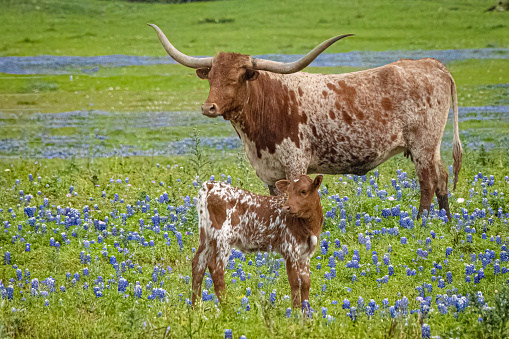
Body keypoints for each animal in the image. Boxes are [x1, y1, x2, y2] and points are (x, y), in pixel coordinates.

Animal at [149, 23, 462, 220]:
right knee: (443, 177)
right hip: (432, 146)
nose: (209, 107)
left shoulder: (295, 163)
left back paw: (421, 222)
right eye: (211, 76)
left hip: (422, 145)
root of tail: (433, 64)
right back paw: (445, 221)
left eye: (238, 77)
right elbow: (275, 203)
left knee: (427, 182)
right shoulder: (270, 171)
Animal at [190, 174, 322, 310]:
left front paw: (307, 312)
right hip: (223, 238)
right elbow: (295, 282)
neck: (309, 227)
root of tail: (211, 185)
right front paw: (295, 311)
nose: (287, 207)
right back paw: (226, 309)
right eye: (288, 192)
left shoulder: (305, 254)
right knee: (216, 268)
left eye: (304, 191)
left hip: (207, 237)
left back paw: (195, 307)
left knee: (198, 263)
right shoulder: (290, 250)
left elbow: (306, 282)